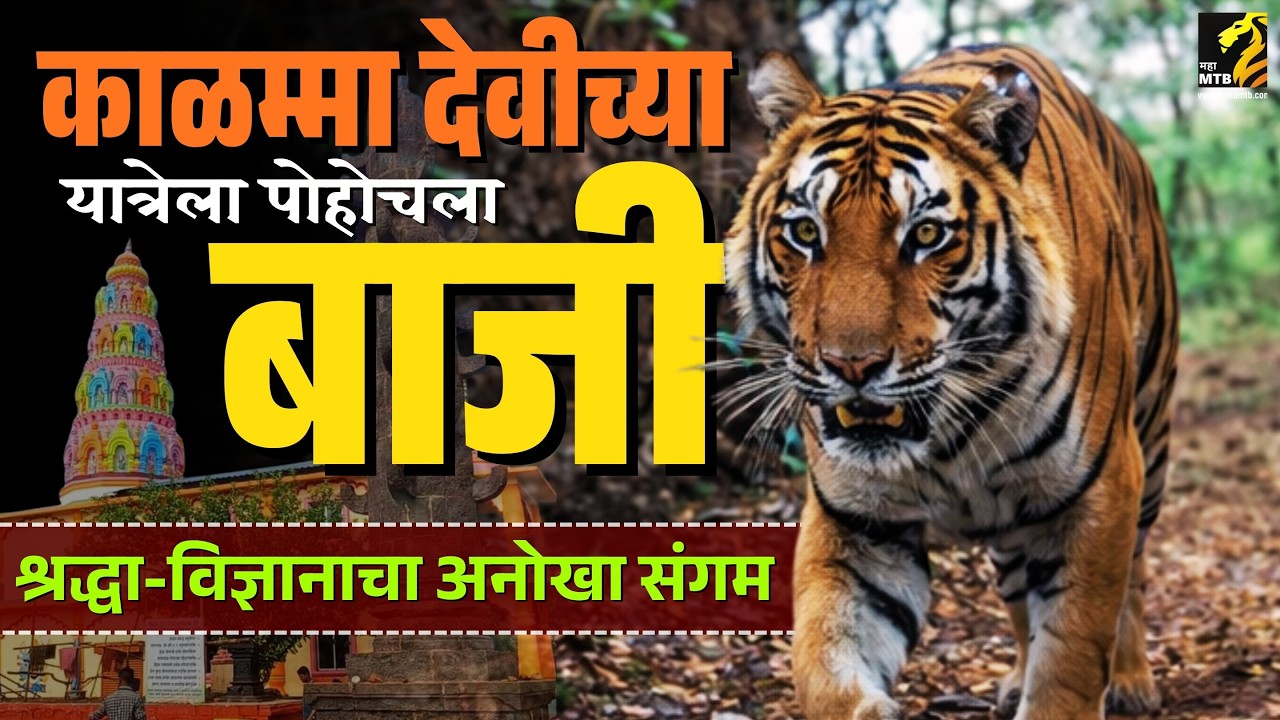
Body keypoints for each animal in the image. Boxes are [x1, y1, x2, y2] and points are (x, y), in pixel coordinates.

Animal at [723, 43, 1178, 720]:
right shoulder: (857, 523)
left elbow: (1072, 656)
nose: (850, 366)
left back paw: (1131, 682)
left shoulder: (1099, 492)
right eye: (805, 233)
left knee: (1138, 575)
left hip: (1148, 440)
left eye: (926, 235)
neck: (952, 430)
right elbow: (824, 659)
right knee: (1019, 598)